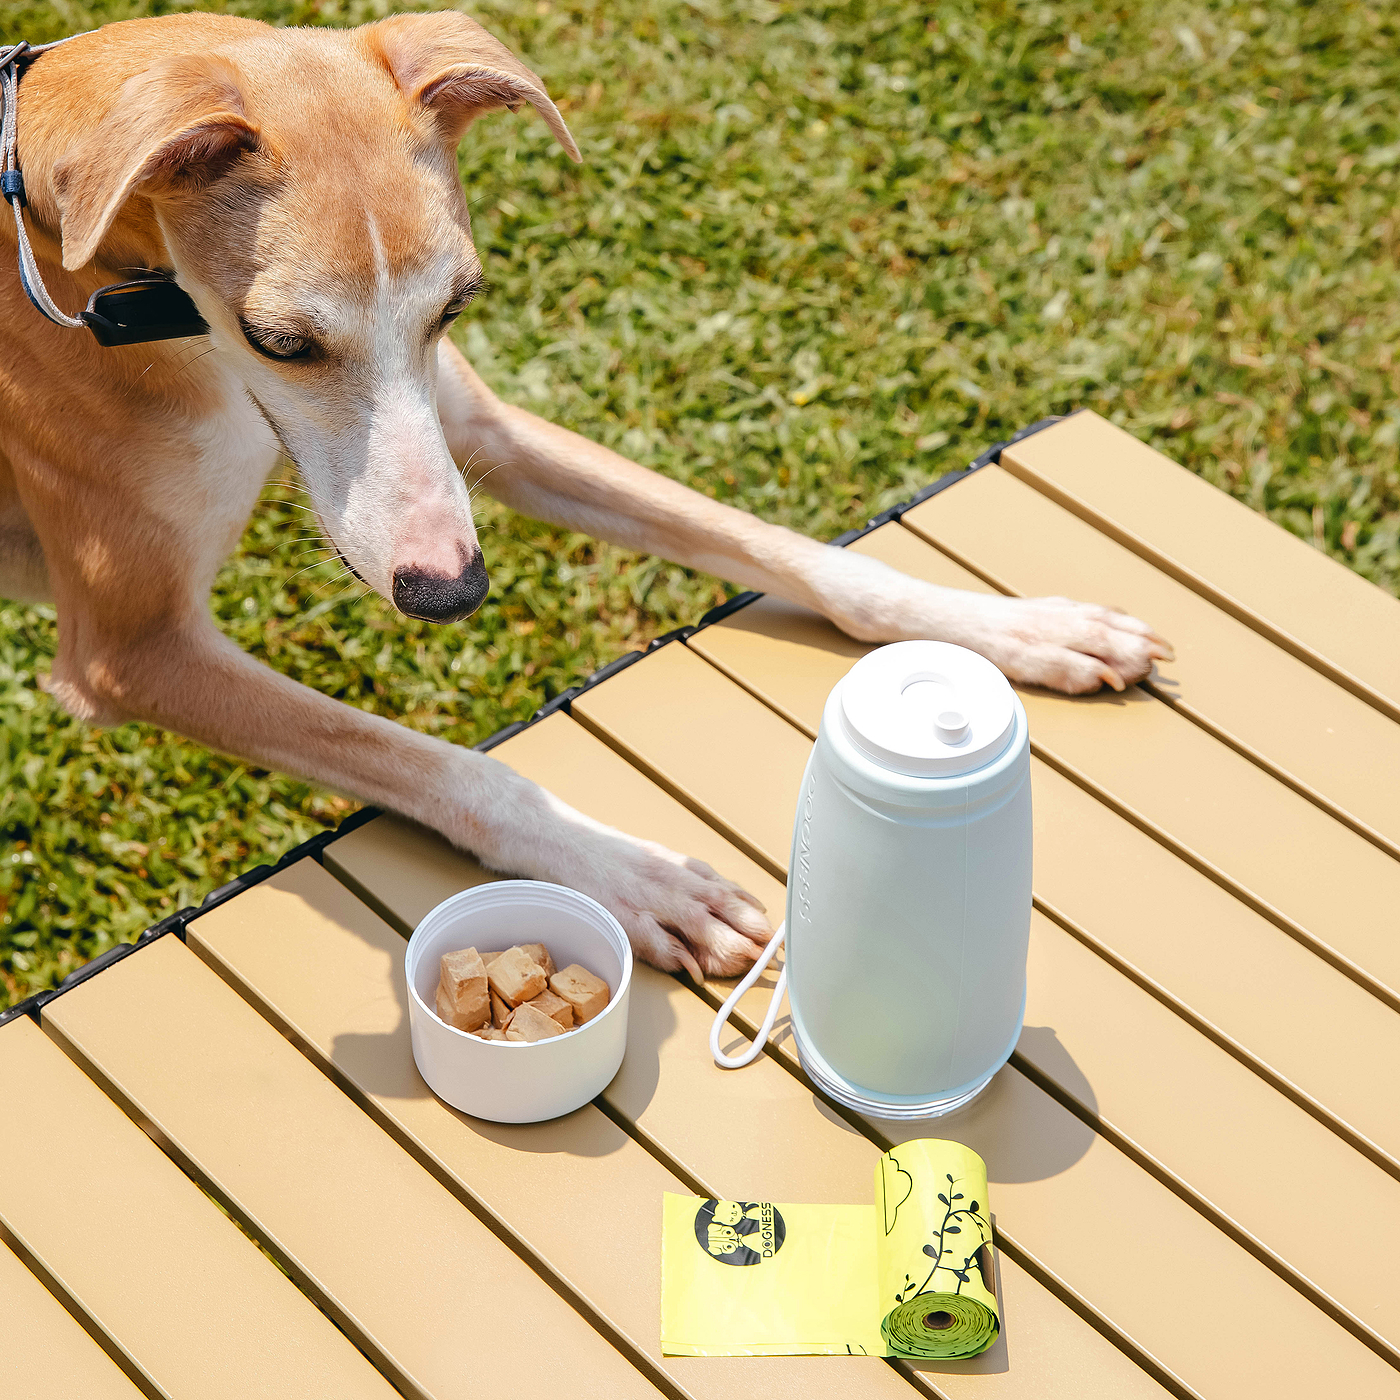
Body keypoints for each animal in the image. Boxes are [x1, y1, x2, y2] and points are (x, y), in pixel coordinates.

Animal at [0, 10, 1170, 980]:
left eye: (455, 305)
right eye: (280, 340)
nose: (451, 593)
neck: (86, 250)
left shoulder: (480, 435)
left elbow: (789, 550)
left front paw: (1020, 627)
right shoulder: (136, 649)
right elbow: (448, 766)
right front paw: (637, 875)